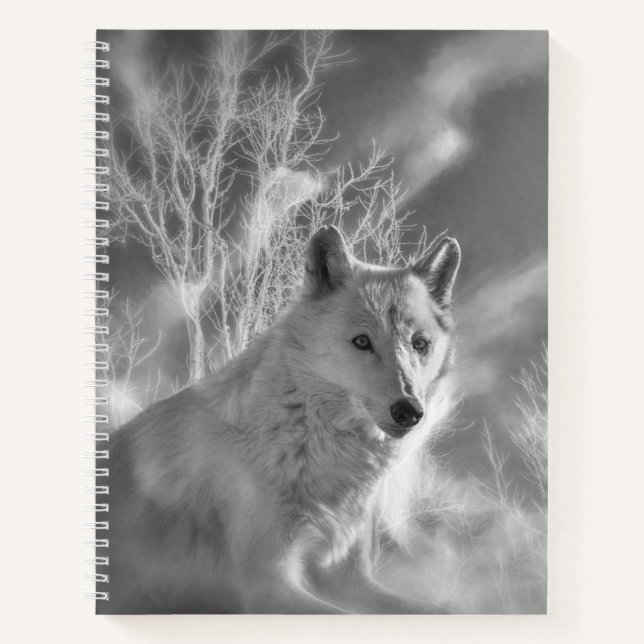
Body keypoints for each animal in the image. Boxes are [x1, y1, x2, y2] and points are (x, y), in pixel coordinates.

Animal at [97, 226, 461, 614]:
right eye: (362, 341)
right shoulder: (267, 584)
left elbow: (441, 611)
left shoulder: (349, 578)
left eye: (419, 344)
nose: (409, 411)